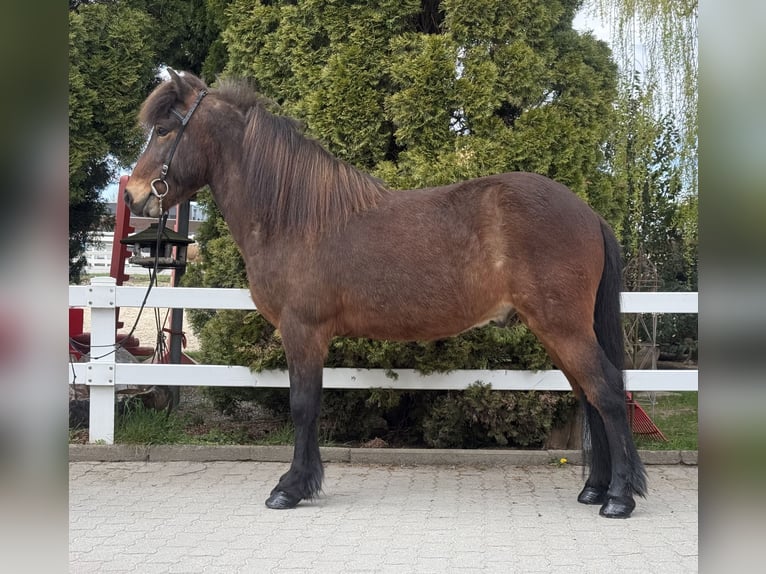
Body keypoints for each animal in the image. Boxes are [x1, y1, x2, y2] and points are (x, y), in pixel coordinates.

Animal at [125, 70, 647, 518]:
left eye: (166, 130)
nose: (132, 195)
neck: (294, 217)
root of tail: (588, 213)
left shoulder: (303, 331)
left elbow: (303, 405)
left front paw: (291, 488)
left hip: (563, 328)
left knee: (606, 391)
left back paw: (619, 498)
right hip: (557, 331)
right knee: (589, 397)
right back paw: (594, 489)